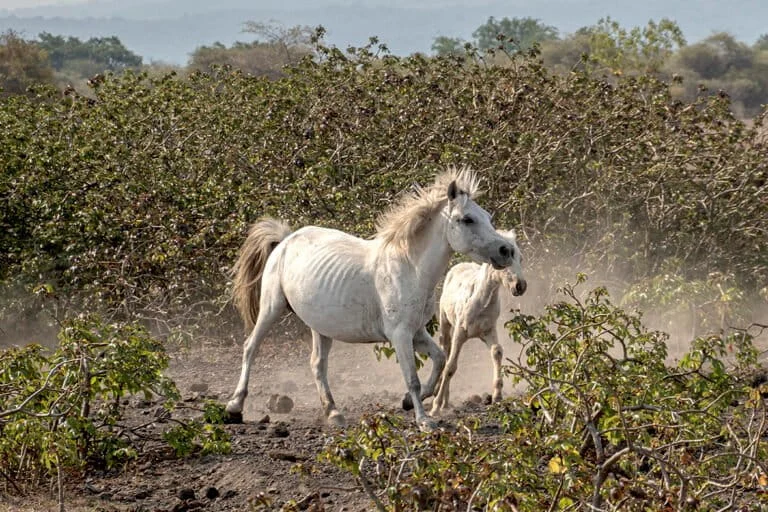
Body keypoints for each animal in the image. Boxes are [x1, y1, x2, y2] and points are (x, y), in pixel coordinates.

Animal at [430, 231, 526, 415]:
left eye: (521, 258)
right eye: (505, 259)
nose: (520, 286)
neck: (481, 302)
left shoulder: (488, 331)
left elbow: (497, 352)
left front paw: (497, 396)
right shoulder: (460, 332)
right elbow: (450, 367)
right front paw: (435, 408)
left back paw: (446, 402)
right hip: (445, 323)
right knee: (445, 350)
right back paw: (442, 401)